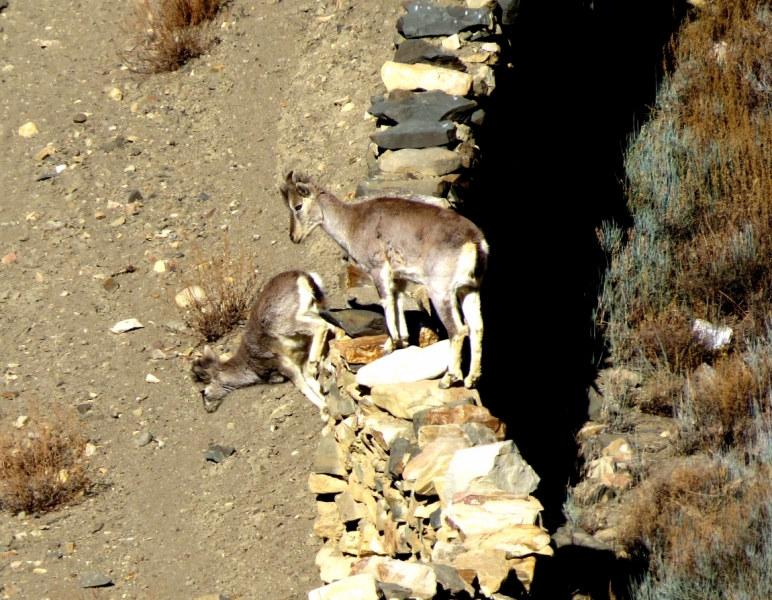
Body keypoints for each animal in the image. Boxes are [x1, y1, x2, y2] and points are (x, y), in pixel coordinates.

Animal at [190, 270, 334, 424]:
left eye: (203, 391)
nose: (208, 409)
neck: (251, 366)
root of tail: (302, 276)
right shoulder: (299, 361)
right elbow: (312, 382)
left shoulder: (285, 365)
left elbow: (303, 387)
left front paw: (325, 411)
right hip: (317, 311)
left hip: (286, 324)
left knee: (320, 326)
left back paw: (314, 363)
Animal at [278, 171, 488, 386]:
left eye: (297, 206)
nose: (294, 237)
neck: (352, 223)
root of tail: (475, 241)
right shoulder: (399, 278)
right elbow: (398, 301)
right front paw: (402, 340)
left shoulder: (378, 268)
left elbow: (386, 301)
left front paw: (390, 344)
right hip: (469, 289)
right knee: (476, 327)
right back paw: (472, 378)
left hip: (441, 291)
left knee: (458, 329)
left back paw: (448, 378)